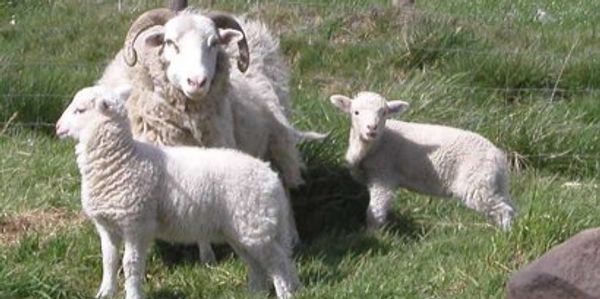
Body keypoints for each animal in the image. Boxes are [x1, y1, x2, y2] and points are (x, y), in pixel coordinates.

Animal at [56, 84, 300, 299]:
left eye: (80, 110)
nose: (57, 128)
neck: (124, 160)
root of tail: (272, 178)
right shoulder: (107, 226)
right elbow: (109, 261)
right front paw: (105, 292)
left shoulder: (136, 224)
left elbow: (130, 264)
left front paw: (133, 293)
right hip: (242, 228)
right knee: (256, 263)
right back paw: (255, 292)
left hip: (255, 223)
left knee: (277, 261)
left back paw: (285, 293)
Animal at [328, 91, 516, 232]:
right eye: (356, 112)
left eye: (384, 113)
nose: (371, 128)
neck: (378, 142)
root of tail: (497, 156)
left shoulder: (383, 176)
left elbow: (376, 209)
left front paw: (372, 233)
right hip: (492, 183)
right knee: (510, 207)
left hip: (476, 183)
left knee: (503, 210)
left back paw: (505, 234)